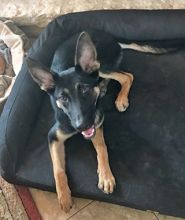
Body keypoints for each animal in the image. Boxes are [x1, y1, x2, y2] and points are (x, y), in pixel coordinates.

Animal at [27, 30, 173, 212]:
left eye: (84, 90)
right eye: (63, 98)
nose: (82, 126)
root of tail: (110, 37)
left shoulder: (97, 123)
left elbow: (102, 148)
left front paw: (106, 176)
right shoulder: (54, 136)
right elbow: (58, 168)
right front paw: (64, 196)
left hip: (101, 68)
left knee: (127, 76)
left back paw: (120, 98)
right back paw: (103, 89)